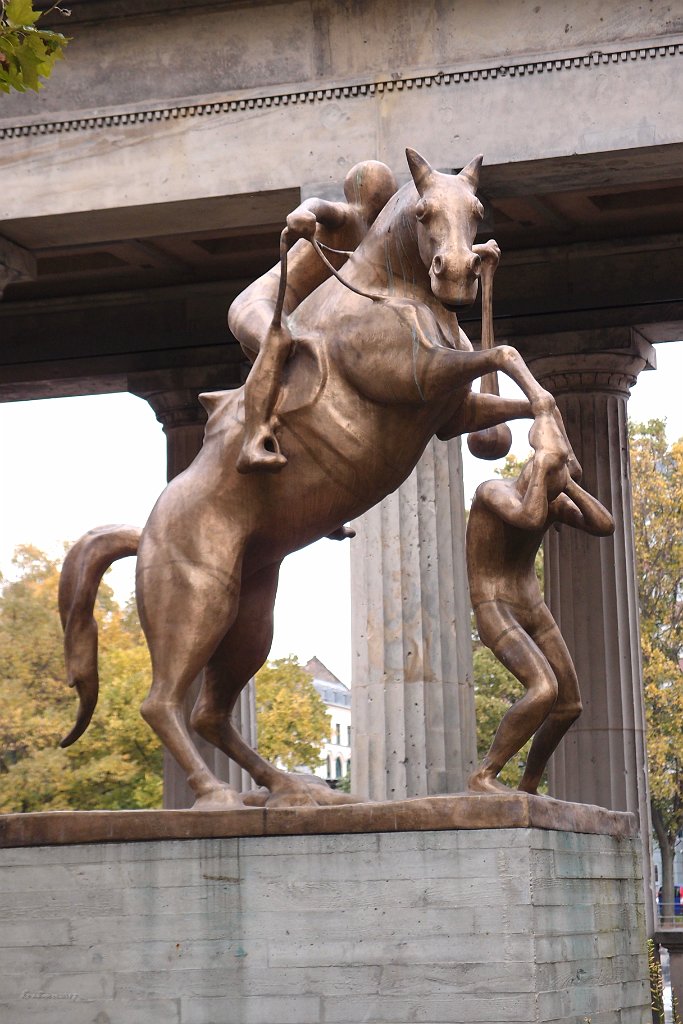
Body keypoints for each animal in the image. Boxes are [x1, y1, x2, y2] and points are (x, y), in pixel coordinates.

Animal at [58, 149, 557, 806]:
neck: (390, 290)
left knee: (208, 715)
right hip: (197, 602)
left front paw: (553, 449)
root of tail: (145, 535)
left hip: (250, 616)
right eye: (424, 211)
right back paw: (219, 794)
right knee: (161, 703)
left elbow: (515, 387)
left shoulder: (454, 414)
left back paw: (292, 790)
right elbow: (506, 356)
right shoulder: (415, 375)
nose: (457, 273)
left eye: (476, 210)